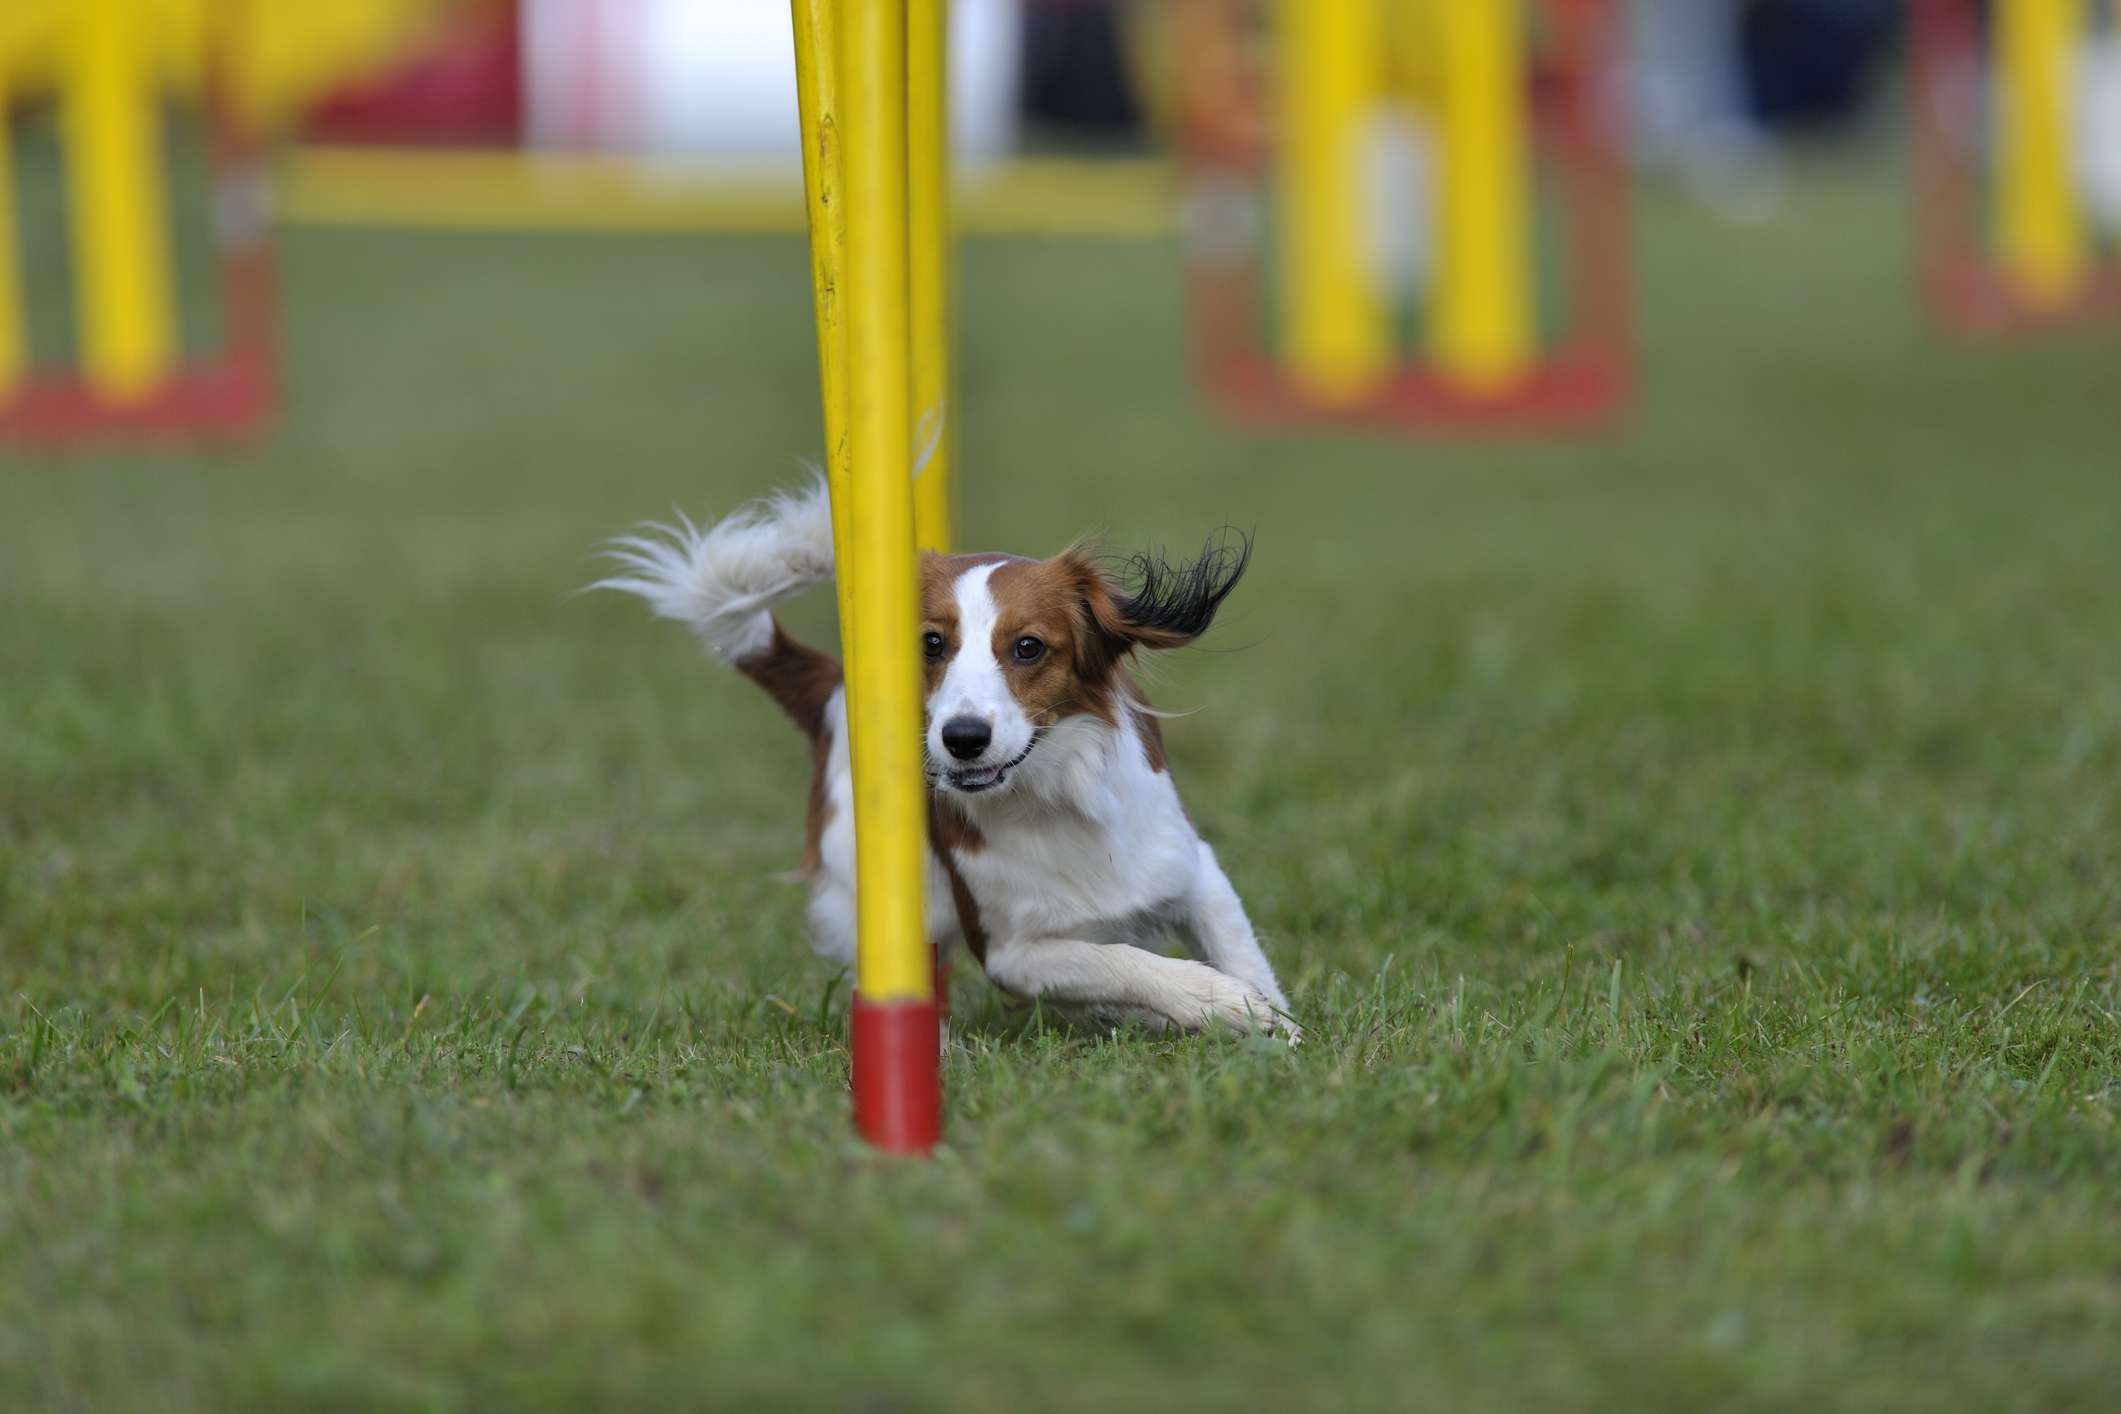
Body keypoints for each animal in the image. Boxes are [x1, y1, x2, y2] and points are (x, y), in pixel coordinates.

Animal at [598, 483, 1289, 1038]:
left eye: (1028, 647)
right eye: (931, 643)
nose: (963, 737)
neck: (1051, 802)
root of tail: (833, 688)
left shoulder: (1192, 871)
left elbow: (1240, 953)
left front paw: (1271, 1023)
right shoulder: (1011, 950)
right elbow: (1121, 962)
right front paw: (1218, 1003)